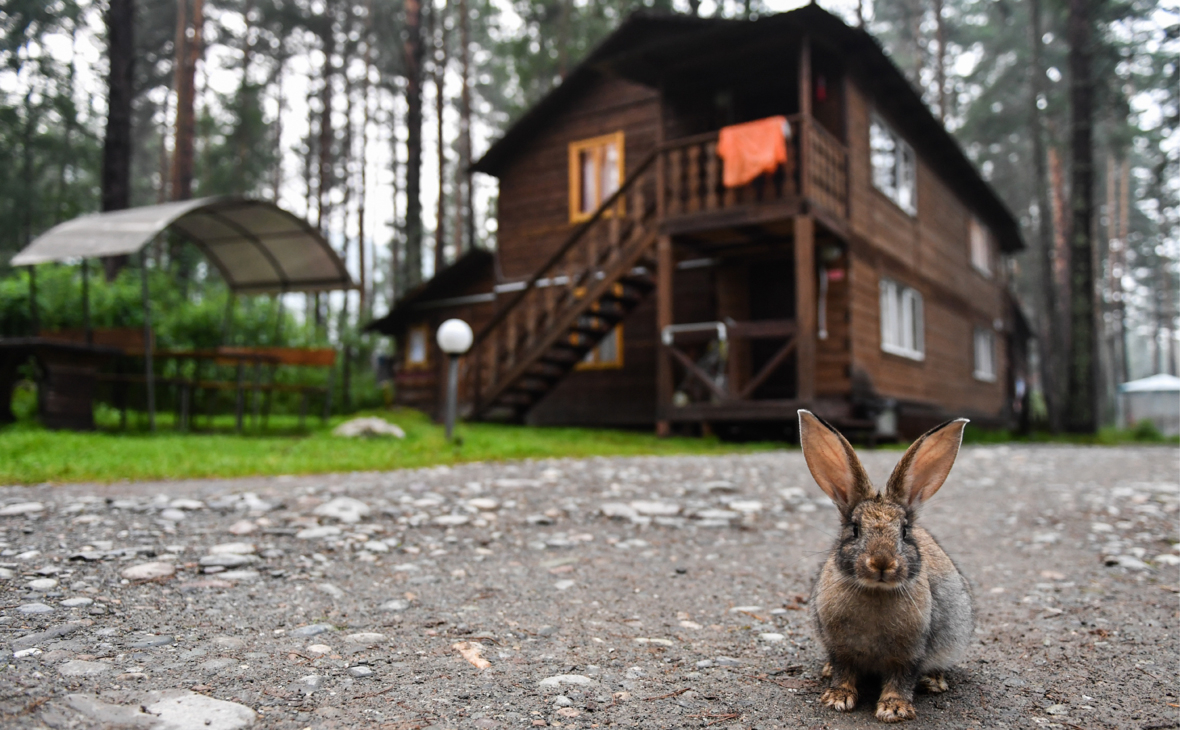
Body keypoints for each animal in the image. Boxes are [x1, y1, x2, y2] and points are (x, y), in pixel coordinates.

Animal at [797, 408, 972, 721]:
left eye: (904, 531)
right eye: (855, 529)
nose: (882, 562)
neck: (875, 591)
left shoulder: (910, 654)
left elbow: (901, 679)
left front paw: (894, 708)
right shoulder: (840, 649)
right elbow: (843, 670)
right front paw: (837, 698)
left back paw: (934, 681)